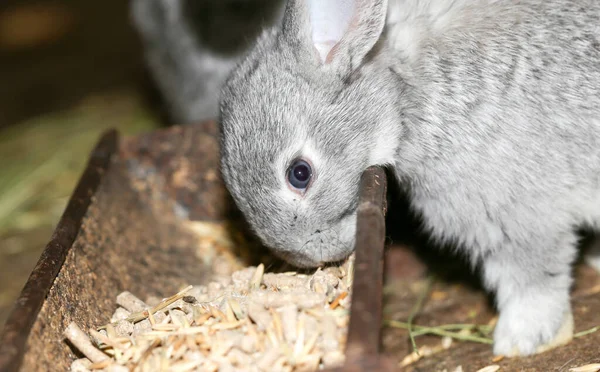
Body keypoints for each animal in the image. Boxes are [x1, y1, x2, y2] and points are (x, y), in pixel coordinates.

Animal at [218, 0, 600, 358]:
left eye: (300, 173)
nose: (311, 257)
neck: (402, 89)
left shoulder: (517, 219)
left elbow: (532, 281)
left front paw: (519, 340)